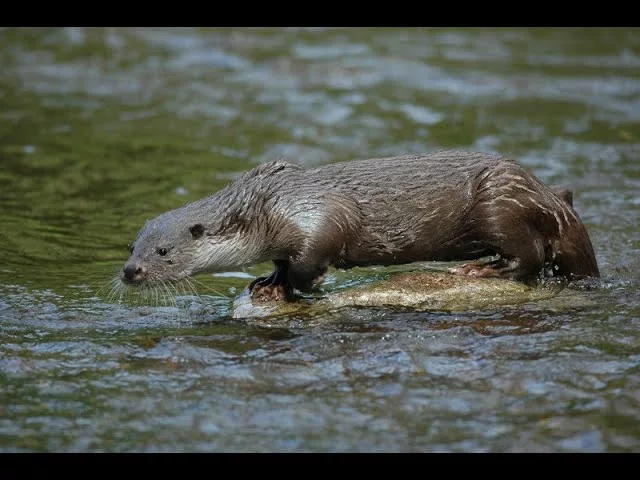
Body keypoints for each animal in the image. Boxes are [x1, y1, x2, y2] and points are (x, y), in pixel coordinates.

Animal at [120, 151, 600, 300]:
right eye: (131, 247)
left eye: (163, 252)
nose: (130, 271)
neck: (269, 205)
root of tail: (548, 196)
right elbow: (281, 261)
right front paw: (268, 282)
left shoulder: (315, 215)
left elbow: (310, 260)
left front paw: (305, 285)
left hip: (498, 205)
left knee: (529, 257)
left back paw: (483, 270)